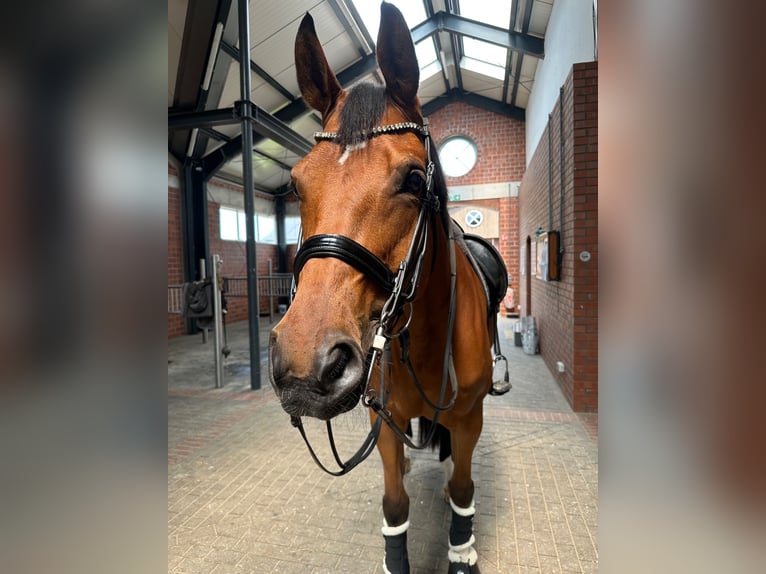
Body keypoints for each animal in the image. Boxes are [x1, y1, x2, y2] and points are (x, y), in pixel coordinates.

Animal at [269, 4, 508, 573]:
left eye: (415, 180)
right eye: (296, 184)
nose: (305, 366)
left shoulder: (469, 417)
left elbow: (463, 489)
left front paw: (462, 551)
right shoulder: (389, 422)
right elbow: (394, 501)